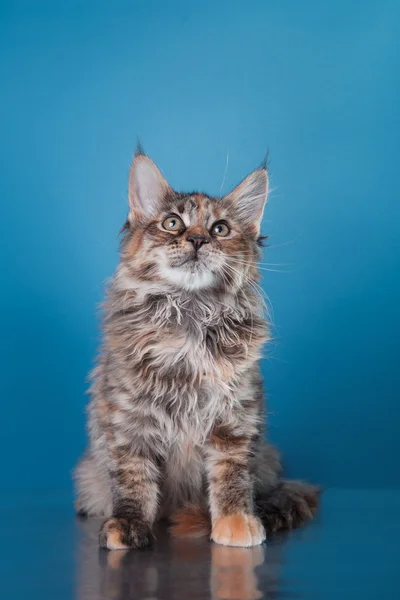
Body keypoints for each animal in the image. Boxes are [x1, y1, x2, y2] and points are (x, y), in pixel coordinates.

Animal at [74, 150, 318, 548]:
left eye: (220, 229)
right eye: (172, 223)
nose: (199, 239)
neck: (190, 315)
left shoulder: (234, 419)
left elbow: (231, 475)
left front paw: (236, 521)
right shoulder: (129, 420)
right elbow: (133, 478)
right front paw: (128, 524)